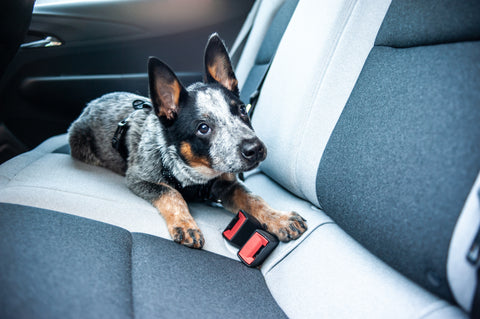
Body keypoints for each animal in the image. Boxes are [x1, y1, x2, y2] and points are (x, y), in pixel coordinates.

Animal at [67, 34, 308, 250]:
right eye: (203, 128)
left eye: (241, 110)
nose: (255, 148)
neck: (198, 176)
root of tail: (94, 102)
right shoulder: (138, 178)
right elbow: (171, 193)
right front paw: (185, 225)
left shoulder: (227, 184)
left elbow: (253, 198)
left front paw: (279, 218)